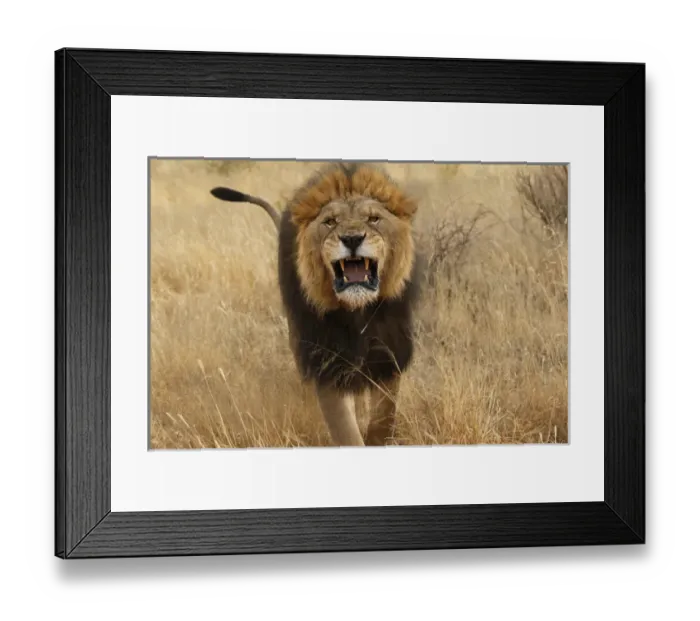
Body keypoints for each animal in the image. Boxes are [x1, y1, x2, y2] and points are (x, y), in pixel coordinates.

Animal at [210, 162, 420, 447]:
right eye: (330, 222)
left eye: (373, 218)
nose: (352, 239)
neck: (356, 314)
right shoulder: (328, 365)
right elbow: (346, 431)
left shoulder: (387, 358)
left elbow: (382, 420)